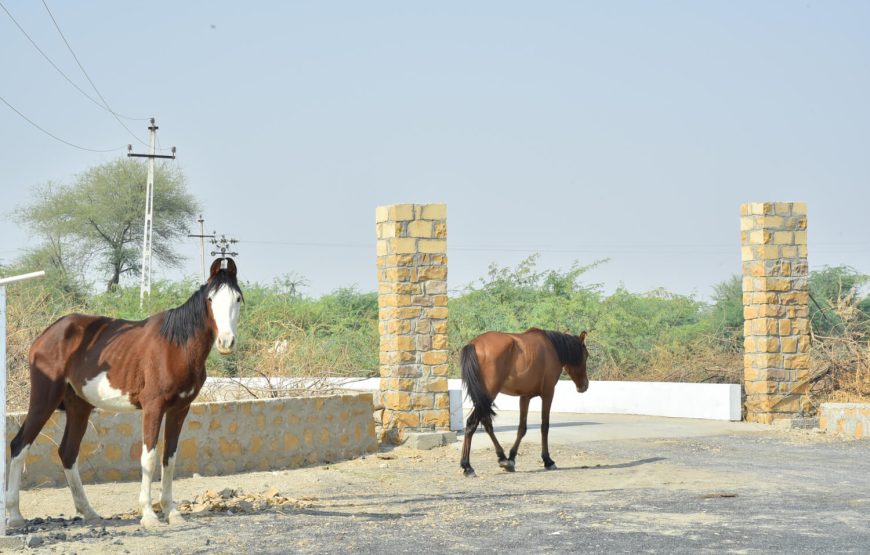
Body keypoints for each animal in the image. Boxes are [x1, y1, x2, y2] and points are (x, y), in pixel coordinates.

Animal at [5, 258, 244, 528]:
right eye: (211, 299)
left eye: (237, 298)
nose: (226, 342)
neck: (176, 346)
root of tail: (47, 334)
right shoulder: (153, 408)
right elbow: (149, 458)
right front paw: (149, 515)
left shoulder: (179, 410)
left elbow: (169, 459)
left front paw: (171, 511)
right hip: (44, 400)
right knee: (19, 445)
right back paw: (15, 515)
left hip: (79, 407)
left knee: (68, 452)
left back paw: (89, 512)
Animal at [460, 330, 588, 478]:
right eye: (586, 356)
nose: (585, 386)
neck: (552, 348)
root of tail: (474, 344)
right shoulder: (548, 394)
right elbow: (545, 426)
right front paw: (548, 460)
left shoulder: (525, 397)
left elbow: (522, 428)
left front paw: (511, 458)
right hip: (488, 395)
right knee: (472, 423)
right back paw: (467, 466)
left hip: (483, 399)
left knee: (487, 424)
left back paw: (502, 458)